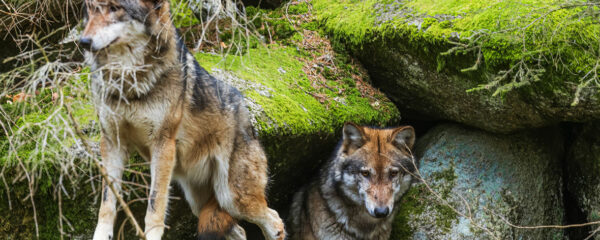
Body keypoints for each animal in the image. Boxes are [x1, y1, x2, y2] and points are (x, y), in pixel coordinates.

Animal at [79, 0, 286, 240]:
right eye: (91, 8)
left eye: (114, 8)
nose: (83, 42)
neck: (128, 81)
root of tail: (245, 111)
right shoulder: (112, 142)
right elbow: (107, 203)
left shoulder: (162, 144)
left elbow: (155, 207)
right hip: (201, 203)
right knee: (240, 230)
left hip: (233, 197)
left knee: (275, 220)